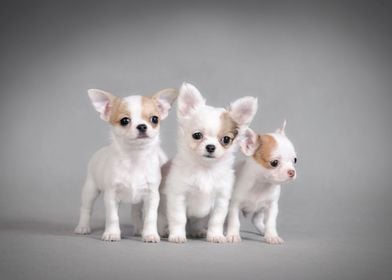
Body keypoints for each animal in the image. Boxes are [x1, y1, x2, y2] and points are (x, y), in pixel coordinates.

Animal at [74, 88, 178, 243]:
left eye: (154, 119)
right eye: (124, 121)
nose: (142, 126)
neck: (135, 157)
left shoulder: (152, 196)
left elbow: (150, 217)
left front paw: (150, 234)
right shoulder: (111, 195)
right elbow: (112, 217)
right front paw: (112, 233)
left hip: (138, 200)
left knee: (136, 213)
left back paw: (140, 230)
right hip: (90, 189)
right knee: (86, 208)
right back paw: (83, 227)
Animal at [159, 82, 258, 243]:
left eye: (226, 139)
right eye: (197, 135)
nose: (210, 147)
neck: (205, 169)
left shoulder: (221, 200)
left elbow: (216, 220)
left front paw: (216, 236)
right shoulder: (177, 196)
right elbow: (178, 218)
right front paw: (177, 235)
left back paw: (198, 231)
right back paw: (165, 231)